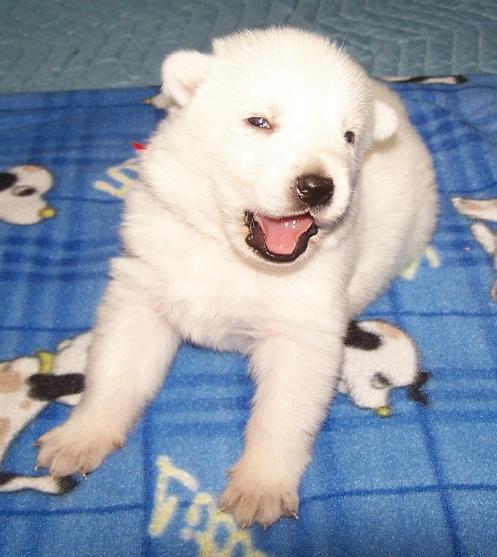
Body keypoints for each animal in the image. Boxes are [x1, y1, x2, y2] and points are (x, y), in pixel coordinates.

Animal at [36, 27, 438, 527]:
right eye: (259, 121)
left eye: (348, 136)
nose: (318, 186)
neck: (232, 257)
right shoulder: (144, 285)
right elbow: (116, 367)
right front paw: (78, 438)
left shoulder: (304, 324)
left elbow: (283, 410)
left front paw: (260, 487)